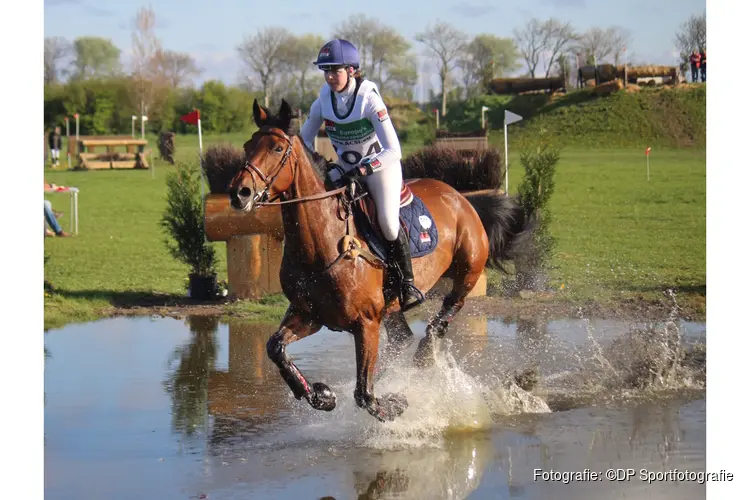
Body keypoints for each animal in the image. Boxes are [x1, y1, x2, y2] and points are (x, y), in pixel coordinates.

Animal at [228, 98, 534, 422]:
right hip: (392, 305)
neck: (320, 244)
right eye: (248, 145)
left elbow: (364, 394)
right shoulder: (309, 315)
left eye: (276, 148)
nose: (239, 192)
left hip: (468, 270)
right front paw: (320, 395)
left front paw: (396, 402)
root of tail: (461, 197)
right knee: (403, 338)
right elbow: (275, 347)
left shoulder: (366, 323)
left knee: (444, 316)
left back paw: (424, 356)